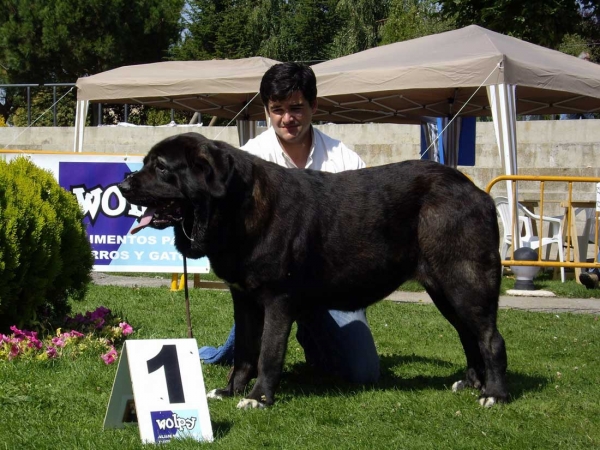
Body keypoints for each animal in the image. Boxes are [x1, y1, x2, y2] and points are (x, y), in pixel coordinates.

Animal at [119, 132, 508, 410]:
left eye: (162, 168)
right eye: (147, 163)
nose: (123, 184)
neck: (236, 208)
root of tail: (477, 192)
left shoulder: (278, 300)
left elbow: (268, 352)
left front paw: (258, 398)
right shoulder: (244, 299)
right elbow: (244, 350)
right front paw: (231, 390)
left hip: (465, 283)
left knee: (490, 338)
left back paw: (494, 394)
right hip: (443, 289)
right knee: (468, 335)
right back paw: (472, 383)